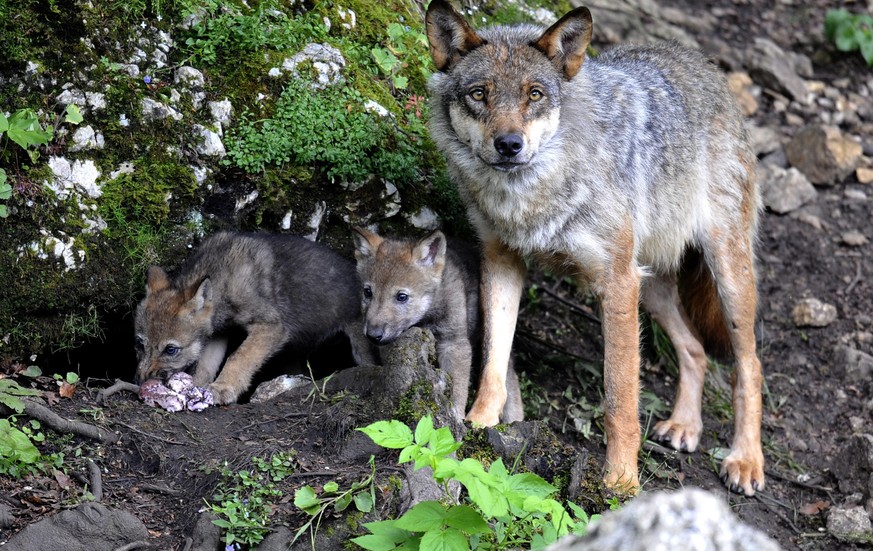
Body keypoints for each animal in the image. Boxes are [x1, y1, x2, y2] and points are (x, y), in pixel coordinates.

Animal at [134, 231, 374, 404]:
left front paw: (223, 388)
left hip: (361, 347)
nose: (141, 380)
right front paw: (197, 387)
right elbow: (205, 365)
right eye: (139, 344)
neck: (221, 277)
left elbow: (238, 357)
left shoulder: (272, 326)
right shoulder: (218, 333)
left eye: (170, 350)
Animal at [424, 0, 764, 498]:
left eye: (535, 94)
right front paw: (478, 426)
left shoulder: (616, 283)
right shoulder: (502, 260)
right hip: (652, 289)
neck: (530, 197)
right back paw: (685, 426)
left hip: (724, 278)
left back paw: (745, 460)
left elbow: (619, 400)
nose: (509, 145)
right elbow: (493, 363)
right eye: (479, 94)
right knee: (695, 350)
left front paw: (620, 482)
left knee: (749, 365)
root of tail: (703, 64)